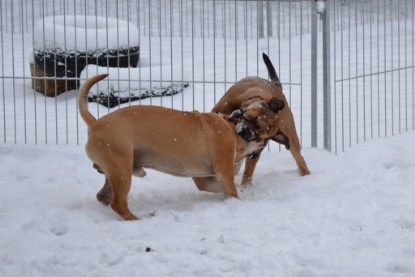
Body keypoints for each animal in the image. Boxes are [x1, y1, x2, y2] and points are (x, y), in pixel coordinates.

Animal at [78, 73, 286, 220]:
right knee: (118, 204)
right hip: (121, 170)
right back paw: (139, 219)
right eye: (256, 127)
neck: (230, 128)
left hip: (115, 171)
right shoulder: (224, 171)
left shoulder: (205, 180)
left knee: (103, 196)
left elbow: (224, 188)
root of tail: (95, 123)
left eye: (266, 134)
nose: (261, 142)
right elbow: (232, 190)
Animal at [213, 52, 310, 185]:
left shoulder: (254, 152)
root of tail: (277, 88)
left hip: (291, 138)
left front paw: (245, 187)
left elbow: (248, 173)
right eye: (253, 120)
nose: (248, 133)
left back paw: (307, 175)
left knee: (299, 159)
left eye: (260, 136)